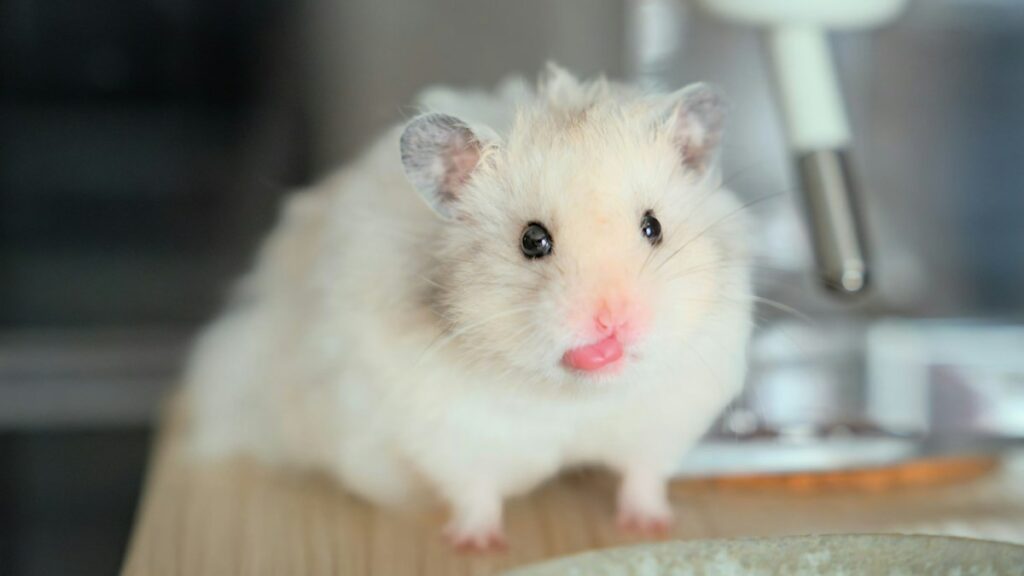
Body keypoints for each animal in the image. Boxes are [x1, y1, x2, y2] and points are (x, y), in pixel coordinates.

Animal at [184, 65, 753, 550]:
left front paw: (651, 527)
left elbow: (644, 474)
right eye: (532, 241)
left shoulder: (666, 416)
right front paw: (477, 545)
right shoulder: (448, 432)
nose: (614, 321)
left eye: (653, 227)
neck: (570, 398)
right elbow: (473, 490)